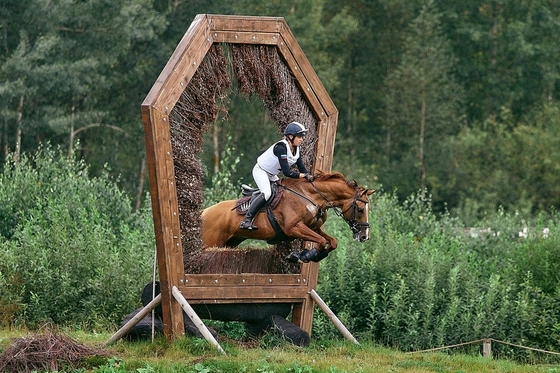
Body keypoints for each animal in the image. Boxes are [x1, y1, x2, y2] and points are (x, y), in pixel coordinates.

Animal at [201, 169, 376, 262]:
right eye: (361, 209)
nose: (364, 236)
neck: (310, 196)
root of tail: (203, 212)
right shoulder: (293, 228)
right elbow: (320, 241)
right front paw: (304, 255)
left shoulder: (314, 227)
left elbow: (332, 241)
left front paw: (310, 255)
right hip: (211, 243)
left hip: (230, 243)